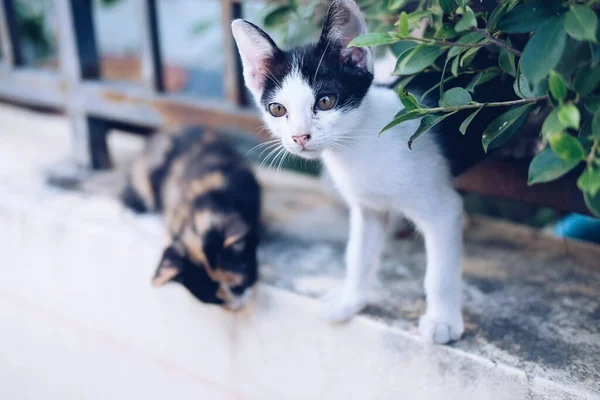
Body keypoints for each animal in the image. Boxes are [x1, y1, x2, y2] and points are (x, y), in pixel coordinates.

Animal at [232, 0, 508, 344]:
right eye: (277, 109)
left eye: (326, 101)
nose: (299, 137)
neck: (357, 146)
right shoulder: (367, 208)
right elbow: (359, 255)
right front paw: (350, 302)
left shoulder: (442, 209)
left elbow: (440, 272)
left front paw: (442, 320)